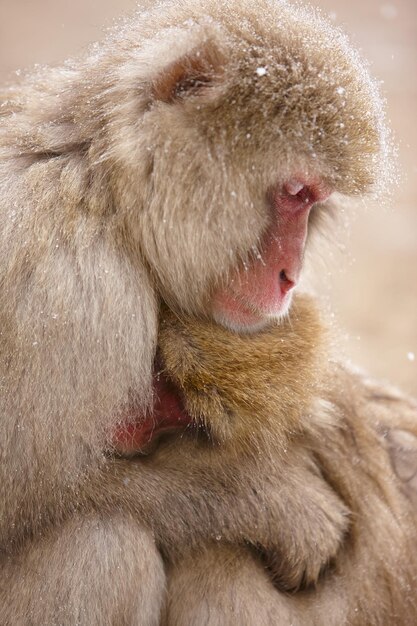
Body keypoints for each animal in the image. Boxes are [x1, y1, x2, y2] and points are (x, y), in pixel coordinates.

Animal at [0, 0, 416, 620]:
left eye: (313, 202)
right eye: (296, 193)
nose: (290, 276)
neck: (102, 184)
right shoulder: (68, 294)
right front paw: (277, 505)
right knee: (103, 542)